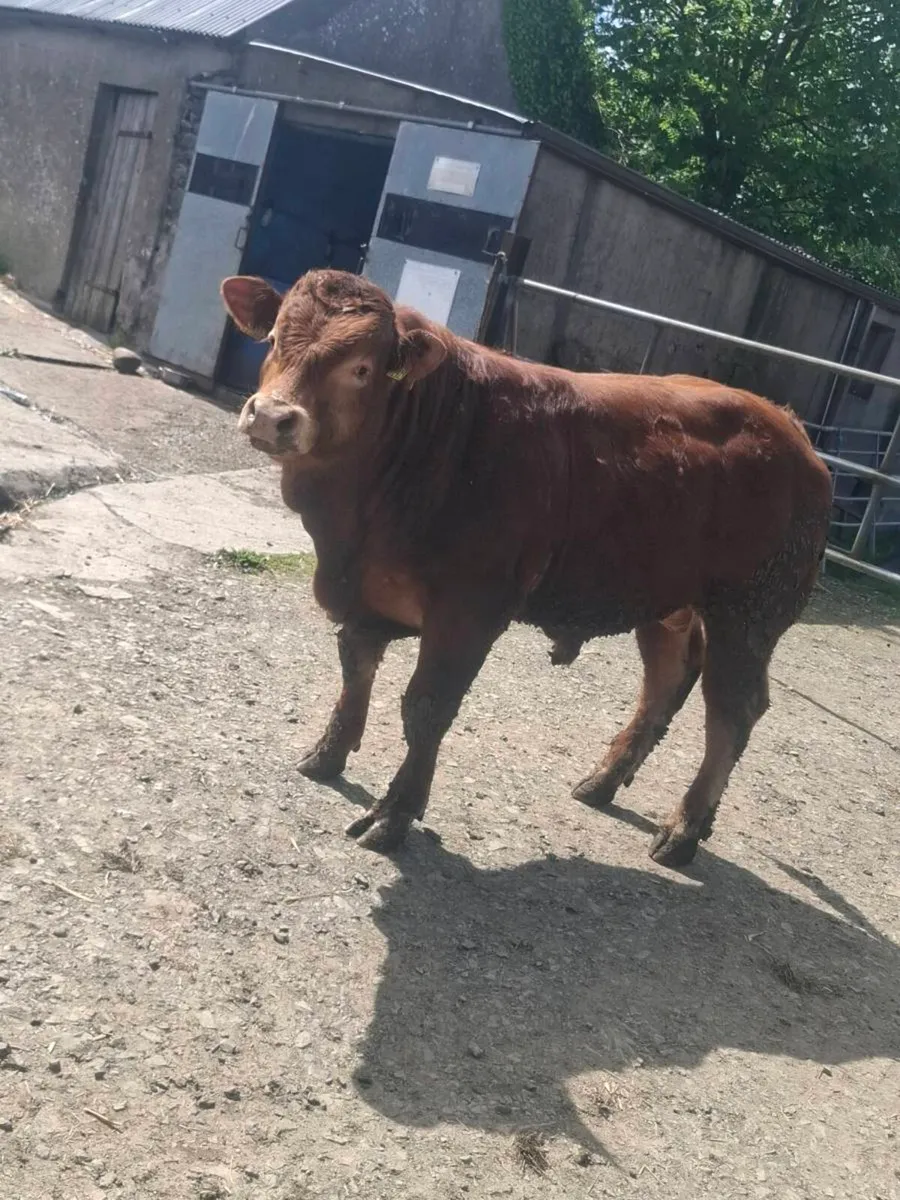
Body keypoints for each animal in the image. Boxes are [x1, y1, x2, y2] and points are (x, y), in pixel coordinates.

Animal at [220, 269, 832, 868]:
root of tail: (789, 426)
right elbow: (355, 669)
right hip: (667, 603)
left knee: (732, 713)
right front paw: (327, 754)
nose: (272, 416)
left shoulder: (468, 612)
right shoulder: (367, 591)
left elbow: (426, 708)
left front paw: (394, 815)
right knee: (664, 682)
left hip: (749, 614)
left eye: (361, 368)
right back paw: (602, 782)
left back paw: (682, 831)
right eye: (272, 340)